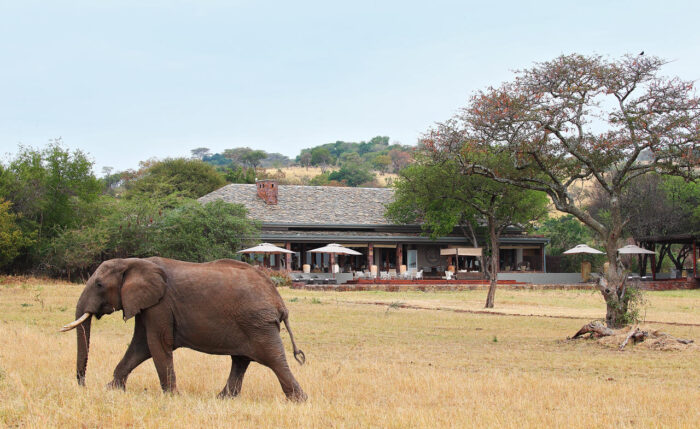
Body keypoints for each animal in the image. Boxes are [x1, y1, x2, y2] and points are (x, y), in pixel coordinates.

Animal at [61, 256, 308, 400]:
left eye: (99, 284)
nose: (83, 386)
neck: (134, 261)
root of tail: (279, 301)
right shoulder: (148, 305)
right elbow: (141, 346)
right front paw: (112, 390)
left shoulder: (160, 305)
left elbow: (157, 344)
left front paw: (172, 397)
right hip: (252, 323)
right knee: (241, 361)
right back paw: (222, 399)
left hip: (258, 323)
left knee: (273, 359)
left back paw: (298, 400)